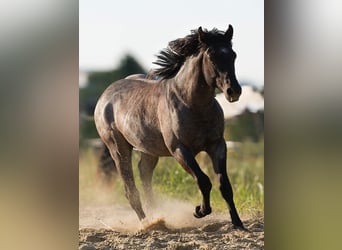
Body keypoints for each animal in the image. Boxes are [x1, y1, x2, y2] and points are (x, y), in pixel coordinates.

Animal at [93, 25, 243, 229]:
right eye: (212, 57)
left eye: (233, 55)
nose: (233, 91)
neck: (192, 104)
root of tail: (105, 96)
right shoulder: (180, 149)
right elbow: (203, 180)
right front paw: (200, 211)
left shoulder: (217, 145)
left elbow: (224, 185)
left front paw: (238, 223)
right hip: (118, 149)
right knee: (130, 189)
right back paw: (149, 223)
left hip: (148, 150)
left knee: (144, 174)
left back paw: (158, 216)